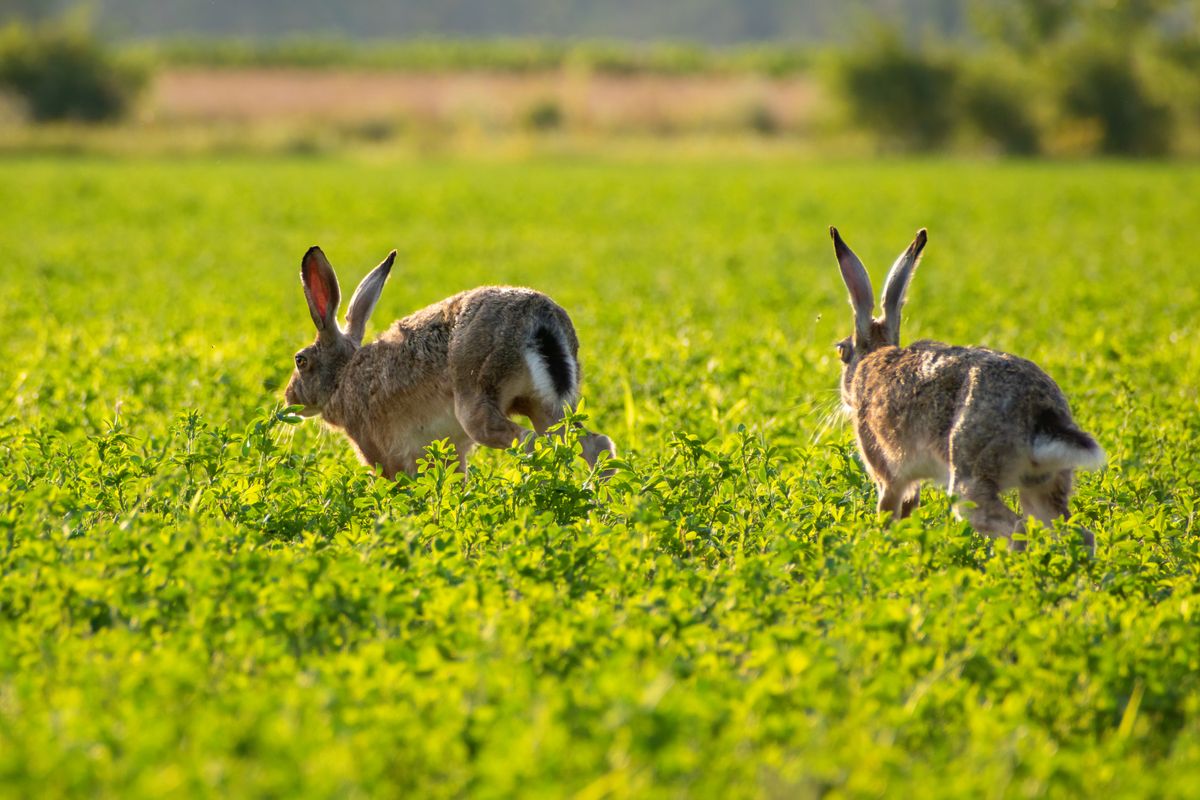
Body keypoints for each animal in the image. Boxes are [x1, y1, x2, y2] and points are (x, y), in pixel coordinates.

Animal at [284, 246, 616, 480]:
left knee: (528, 442)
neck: (342, 375)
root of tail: (540, 321)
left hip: (476, 403)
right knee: (591, 445)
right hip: (547, 406)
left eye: (300, 360)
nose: (289, 397)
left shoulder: (378, 447)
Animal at [829, 226, 1104, 551]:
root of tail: (1041, 414)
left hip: (969, 478)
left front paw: (882, 545)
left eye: (841, 351)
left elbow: (888, 512)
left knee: (1016, 527)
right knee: (1077, 532)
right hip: (1044, 484)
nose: (844, 395)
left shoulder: (887, 473)